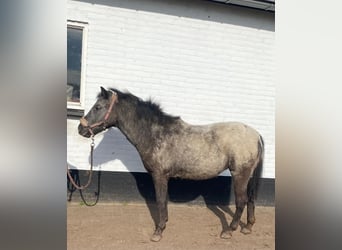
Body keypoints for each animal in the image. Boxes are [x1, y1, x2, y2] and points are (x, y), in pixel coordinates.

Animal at [78, 86, 264, 242]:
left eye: (98, 107)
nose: (81, 129)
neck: (155, 134)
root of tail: (256, 135)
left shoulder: (159, 175)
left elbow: (161, 200)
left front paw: (158, 231)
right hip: (248, 176)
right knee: (251, 198)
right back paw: (247, 227)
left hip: (240, 174)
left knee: (241, 201)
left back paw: (229, 231)